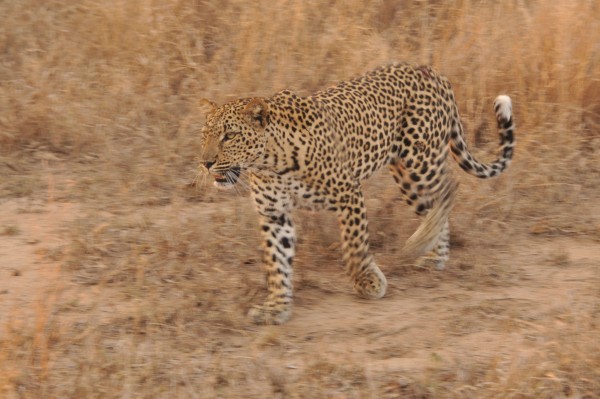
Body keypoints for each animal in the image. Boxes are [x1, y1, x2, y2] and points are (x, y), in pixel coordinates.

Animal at [198, 63, 516, 324]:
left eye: (230, 136)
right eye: (204, 135)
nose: (206, 163)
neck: (269, 163)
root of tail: (435, 73)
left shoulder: (348, 193)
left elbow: (354, 247)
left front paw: (367, 282)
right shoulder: (274, 214)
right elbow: (276, 263)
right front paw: (276, 307)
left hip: (419, 160)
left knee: (450, 186)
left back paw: (419, 242)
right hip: (406, 175)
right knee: (434, 204)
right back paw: (433, 253)